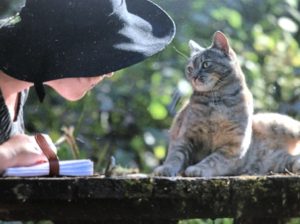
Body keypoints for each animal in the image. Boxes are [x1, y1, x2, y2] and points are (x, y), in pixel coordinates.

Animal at [154, 31, 300, 177]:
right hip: (280, 161)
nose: (194, 76)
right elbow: (175, 156)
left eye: (206, 64)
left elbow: (212, 160)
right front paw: (166, 169)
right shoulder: (185, 136)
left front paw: (197, 169)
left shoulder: (232, 146)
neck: (217, 101)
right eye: (189, 69)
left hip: (281, 126)